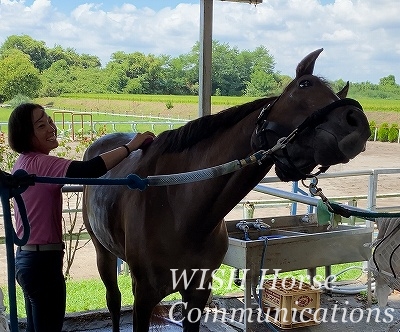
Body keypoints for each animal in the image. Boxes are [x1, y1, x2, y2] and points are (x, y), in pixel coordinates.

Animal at [82, 48, 372, 330]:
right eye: (304, 84)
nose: (356, 121)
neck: (179, 209)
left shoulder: (197, 294)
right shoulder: (143, 296)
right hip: (102, 252)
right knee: (114, 301)